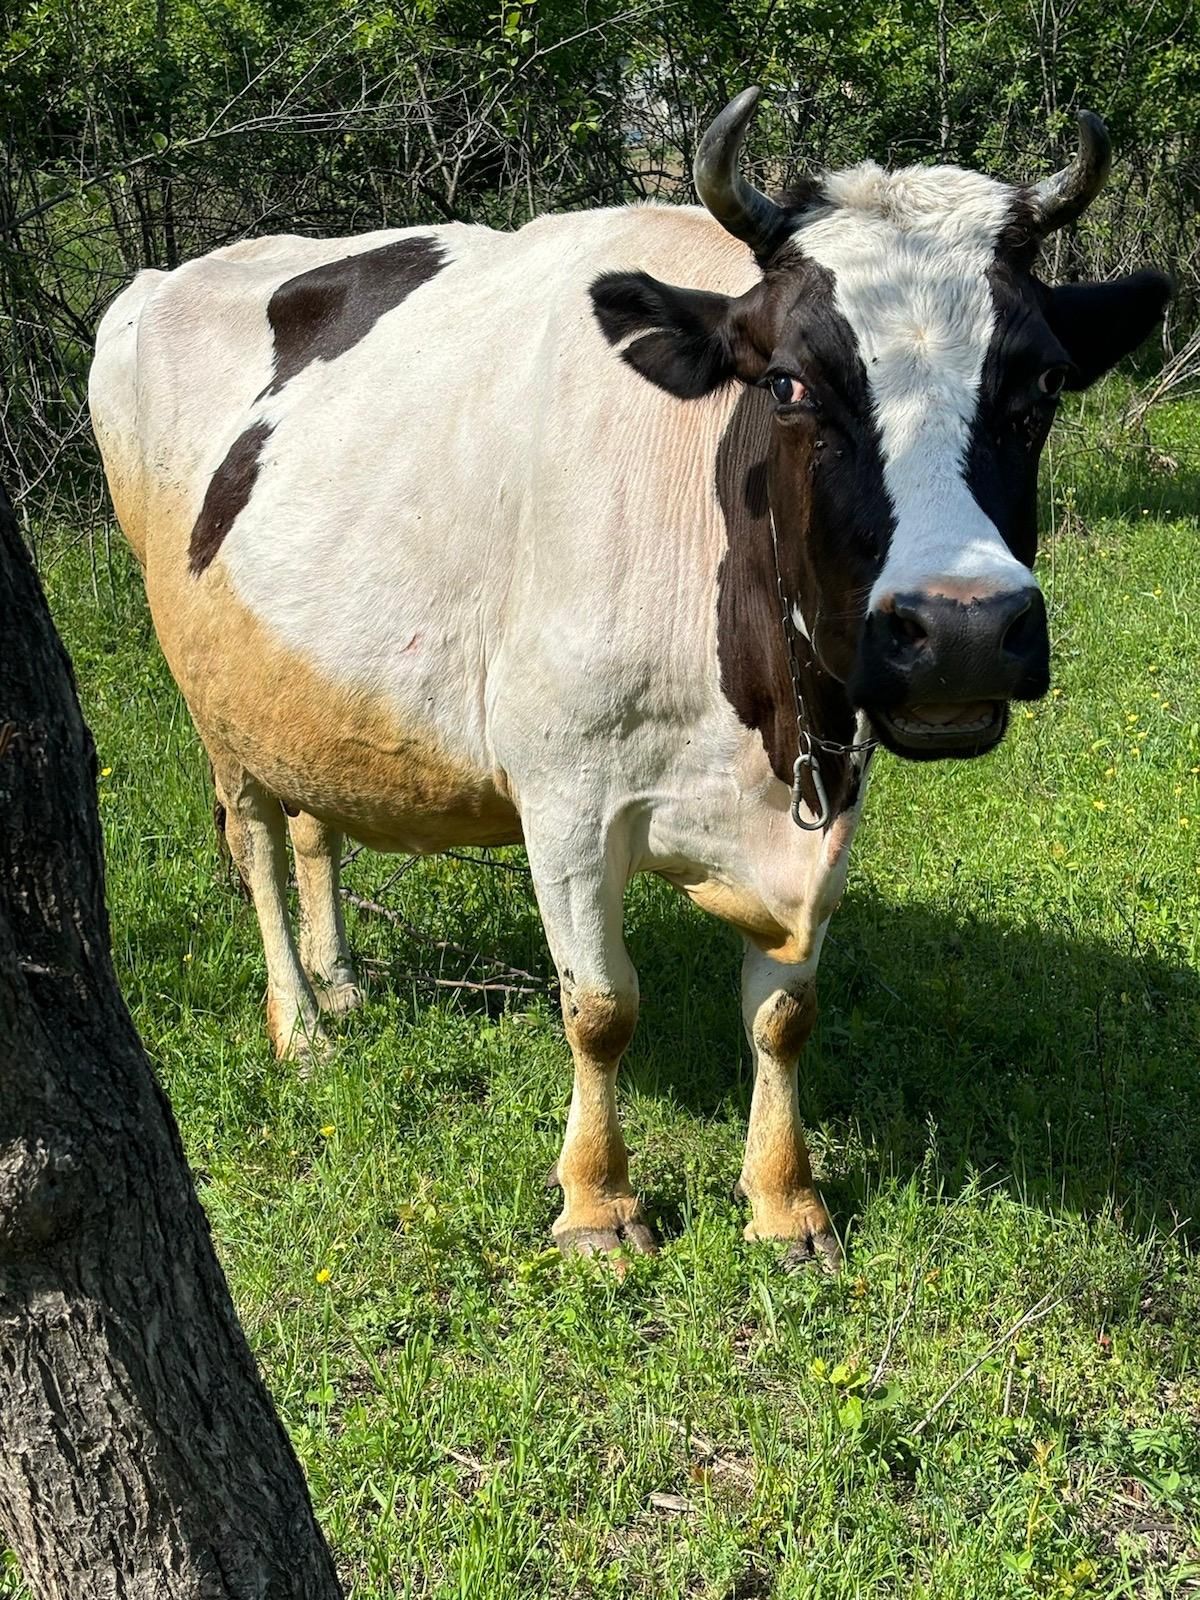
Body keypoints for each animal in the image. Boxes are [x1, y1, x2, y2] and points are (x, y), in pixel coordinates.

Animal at [91, 93, 1177, 1260]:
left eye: (1043, 382)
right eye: (788, 382)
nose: (962, 627)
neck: (758, 724)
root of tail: (163, 279)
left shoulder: (831, 786)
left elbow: (784, 1013)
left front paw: (784, 1200)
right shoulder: (566, 796)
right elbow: (602, 1006)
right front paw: (597, 1204)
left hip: (298, 677)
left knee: (312, 822)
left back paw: (340, 986)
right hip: (206, 685)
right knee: (253, 833)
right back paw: (298, 1025)